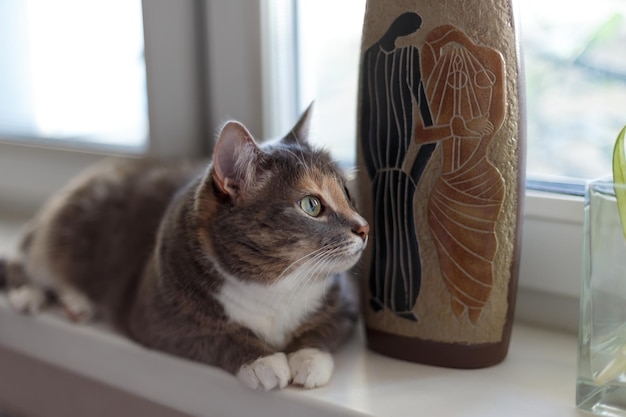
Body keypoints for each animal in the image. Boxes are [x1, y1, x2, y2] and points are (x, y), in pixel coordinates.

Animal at [0, 107, 368, 390]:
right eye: (311, 205)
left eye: (347, 193)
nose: (365, 228)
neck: (276, 287)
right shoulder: (156, 315)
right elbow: (212, 336)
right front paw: (263, 362)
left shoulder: (347, 305)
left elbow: (324, 328)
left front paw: (308, 360)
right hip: (61, 235)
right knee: (27, 264)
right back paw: (31, 296)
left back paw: (76, 303)